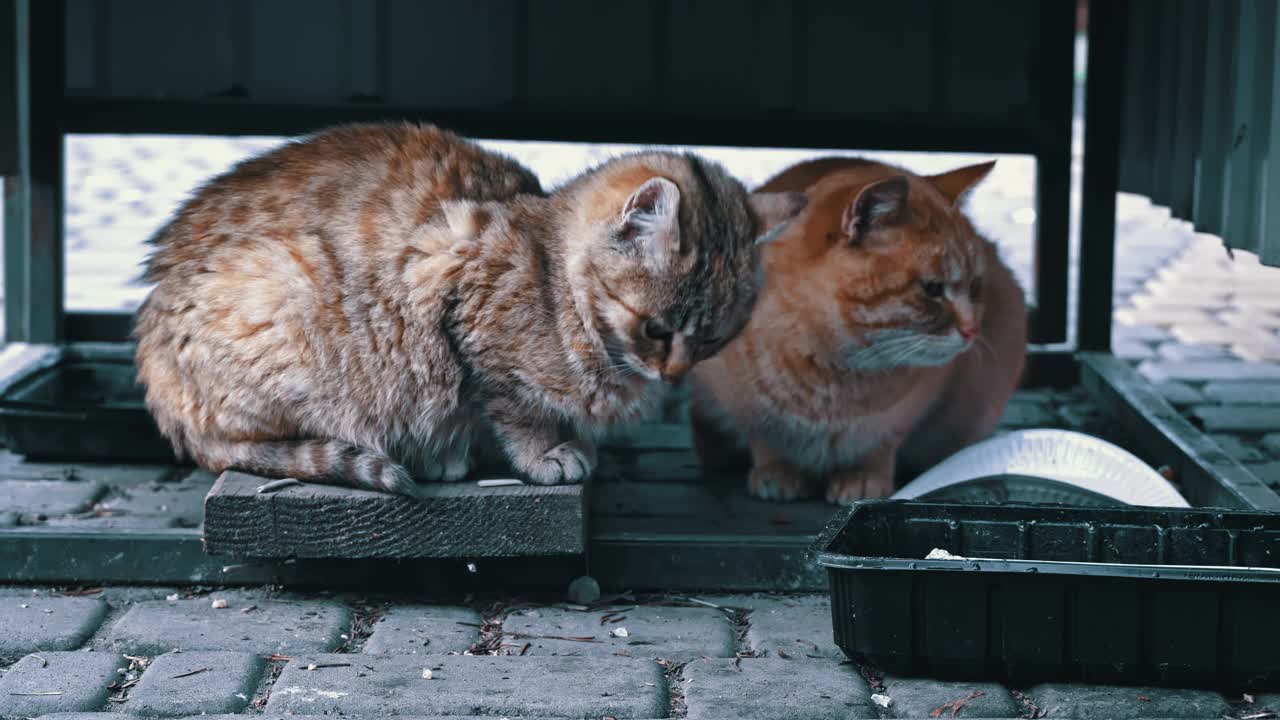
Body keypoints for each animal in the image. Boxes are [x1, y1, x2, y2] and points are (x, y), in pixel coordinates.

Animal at [137, 122, 798, 491]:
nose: (676, 374)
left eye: (712, 340)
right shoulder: (455, 297)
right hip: (287, 300)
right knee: (256, 445)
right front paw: (546, 452)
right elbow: (513, 407)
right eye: (657, 330)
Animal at [691, 156, 1029, 504]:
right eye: (933, 289)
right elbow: (764, 437)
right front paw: (776, 470)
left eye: (974, 287)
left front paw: (864, 477)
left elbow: (879, 447)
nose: (972, 329)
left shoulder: (903, 415)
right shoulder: (740, 403)